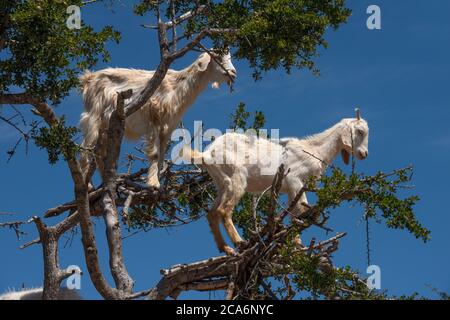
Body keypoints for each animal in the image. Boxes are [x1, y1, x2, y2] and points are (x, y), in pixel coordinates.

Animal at [79, 51, 237, 189]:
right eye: (217, 57)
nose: (233, 73)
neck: (177, 87)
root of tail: (89, 78)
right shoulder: (154, 120)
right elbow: (155, 154)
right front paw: (153, 184)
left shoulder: (167, 128)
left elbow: (161, 156)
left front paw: (158, 182)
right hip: (93, 116)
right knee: (86, 147)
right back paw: (88, 185)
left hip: (105, 126)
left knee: (99, 151)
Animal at [180, 110, 370, 255]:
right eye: (360, 131)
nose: (364, 154)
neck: (315, 150)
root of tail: (206, 154)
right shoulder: (295, 180)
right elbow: (301, 211)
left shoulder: (291, 190)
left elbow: (294, 214)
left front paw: (296, 246)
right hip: (237, 178)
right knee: (223, 210)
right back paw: (239, 242)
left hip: (222, 183)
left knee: (212, 213)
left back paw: (226, 249)